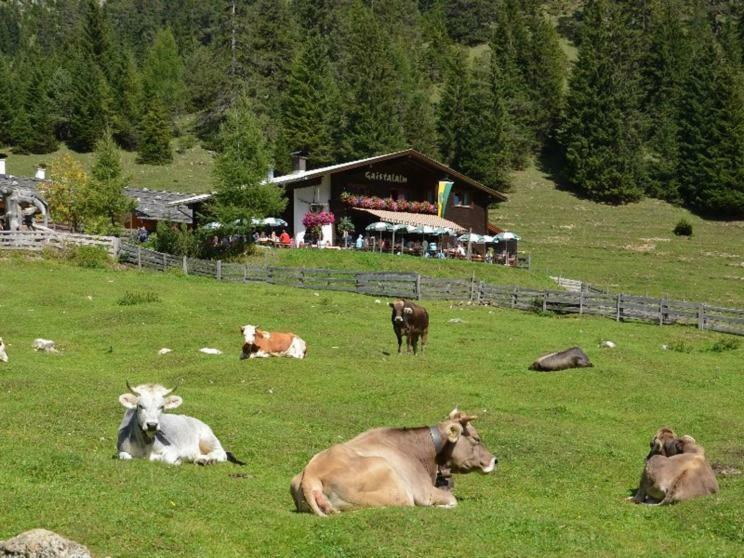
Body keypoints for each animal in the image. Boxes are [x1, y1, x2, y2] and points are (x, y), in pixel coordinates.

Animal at [290, 410, 494, 520]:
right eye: (476, 438)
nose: (494, 460)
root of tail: (310, 476)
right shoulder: (423, 492)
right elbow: (452, 500)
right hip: (394, 483)